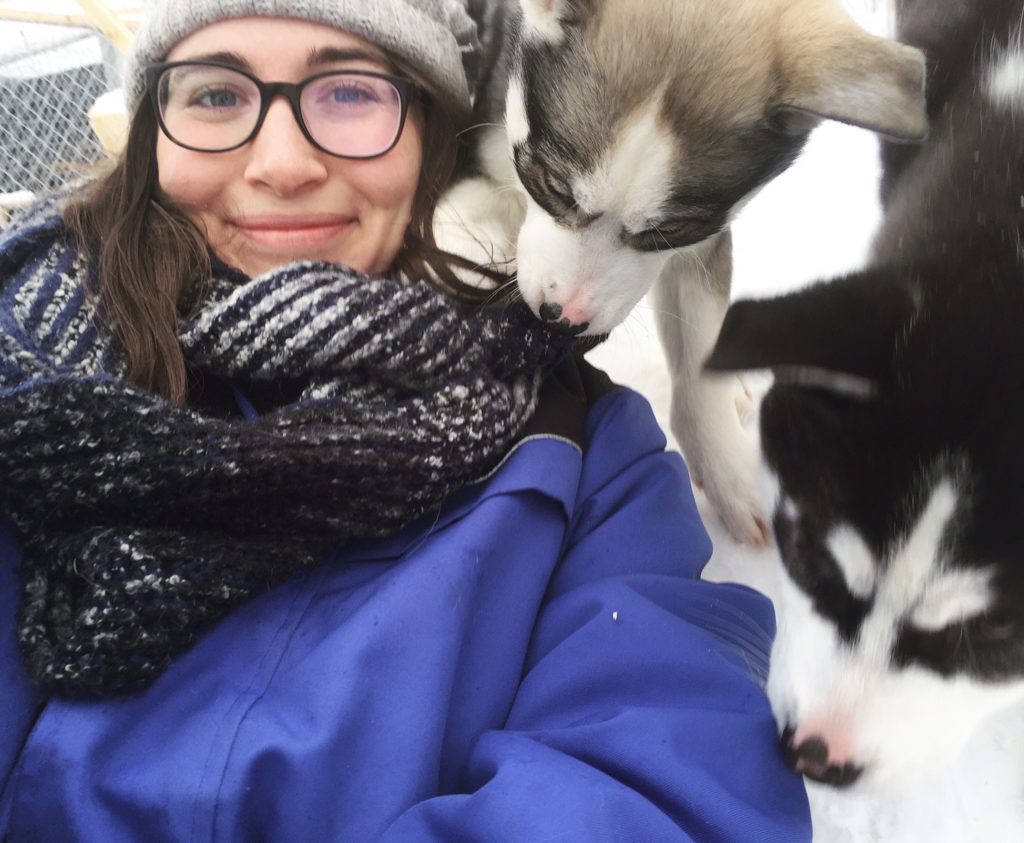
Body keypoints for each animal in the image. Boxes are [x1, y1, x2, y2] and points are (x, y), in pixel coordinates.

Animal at [446, 1, 929, 549]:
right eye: (553, 184)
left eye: (669, 230)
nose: (561, 317)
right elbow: (487, 191)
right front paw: (463, 231)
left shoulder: (705, 239)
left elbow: (701, 343)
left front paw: (725, 467)